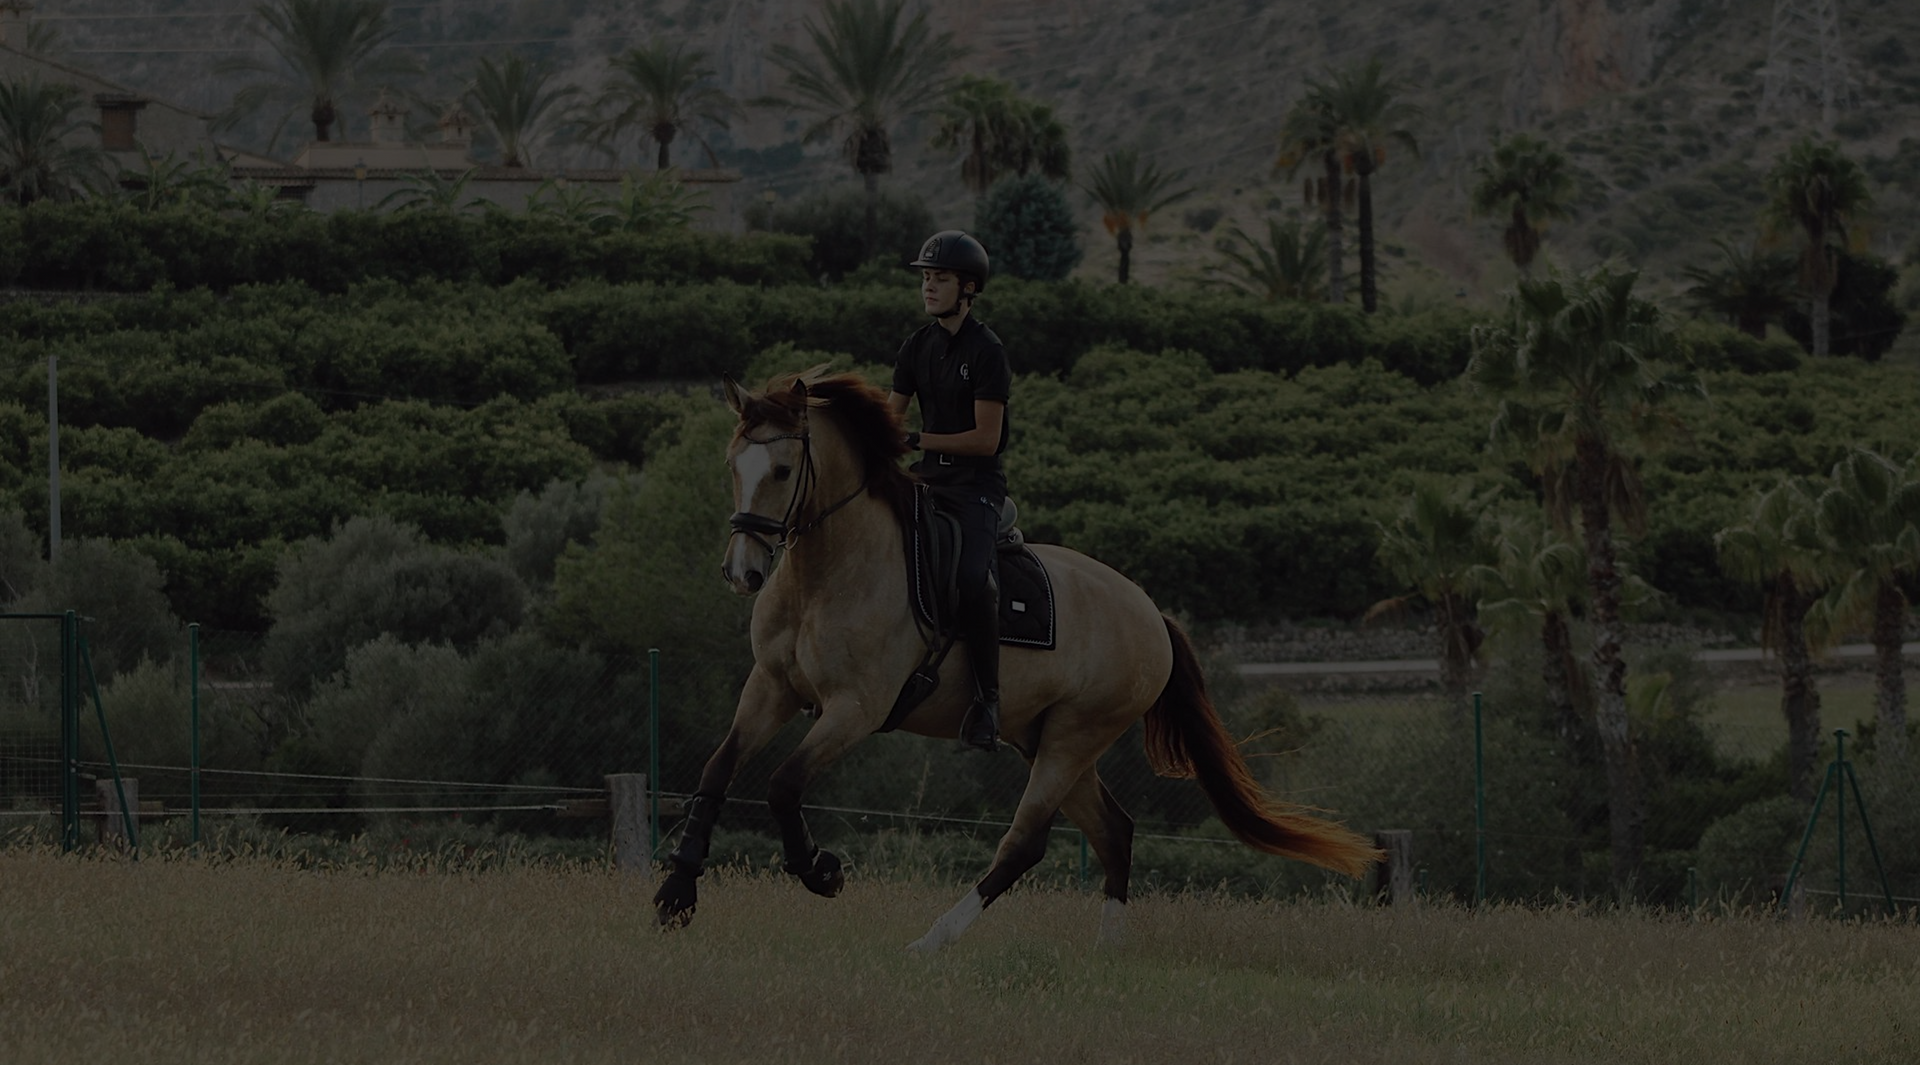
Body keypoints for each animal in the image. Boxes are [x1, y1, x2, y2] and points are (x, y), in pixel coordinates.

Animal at [651, 368, 1382, 952]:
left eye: (780, 471)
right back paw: (1107, 947)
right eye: (732, 465)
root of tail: (1152, 615)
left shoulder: (854, 709)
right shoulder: (770, 686)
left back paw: (934, 939)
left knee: (1024, 842)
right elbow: (717, 770)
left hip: (1073, 736)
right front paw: (676, 892)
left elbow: (782, 784)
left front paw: (821, 871)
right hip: (1049, 740)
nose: (743, 572)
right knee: (1114, 831)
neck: (827, 573)